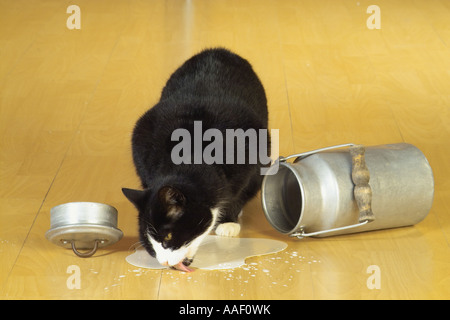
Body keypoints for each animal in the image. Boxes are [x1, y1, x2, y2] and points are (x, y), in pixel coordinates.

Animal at [121, 47, 268, 272]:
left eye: (168, 237)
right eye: (151, 243)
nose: (164, 262)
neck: (192, 154)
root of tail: (218, 50)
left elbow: (236, 194)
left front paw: (228, 221)